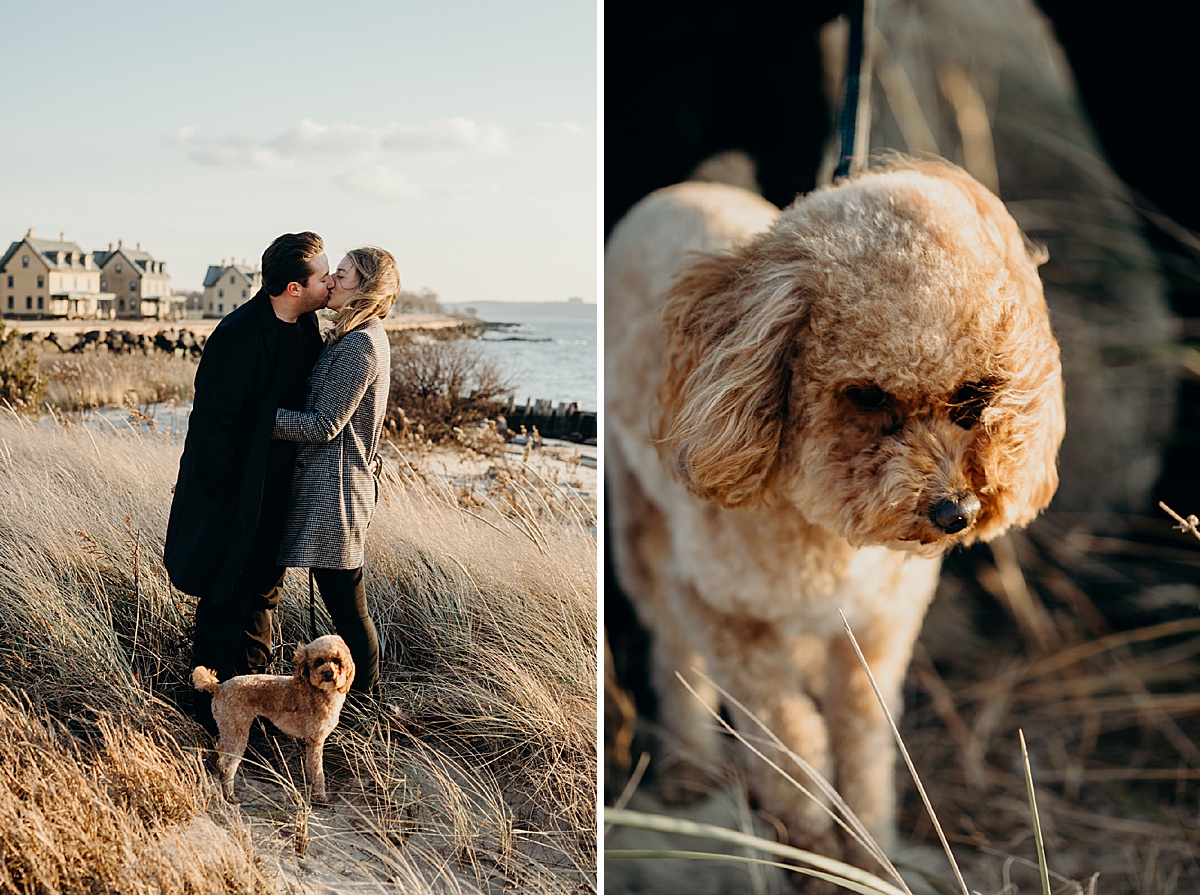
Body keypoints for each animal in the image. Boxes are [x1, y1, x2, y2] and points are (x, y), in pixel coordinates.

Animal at [189, 633, 352, 806]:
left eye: (337, 661)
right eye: (319, 661)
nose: (328, 674)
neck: (319, 692)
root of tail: (218, 688)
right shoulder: (315, 740)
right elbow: (317, 772)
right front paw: (321, 798)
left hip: (229, 730)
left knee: (221, 762)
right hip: (236, 731)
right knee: (227, 767)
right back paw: (230, 796)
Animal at [604, 157, 1065, 859]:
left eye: (974, 395)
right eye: (868, 395)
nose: (954, 513)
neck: (826, 531)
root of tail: (683, 189)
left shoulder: (882, 627)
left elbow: (863, 740)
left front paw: (870, 852)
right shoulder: (720, 611)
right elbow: (792, 743)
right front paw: (813, 850)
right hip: (640, 529)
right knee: (671, 649)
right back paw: (687, 765)